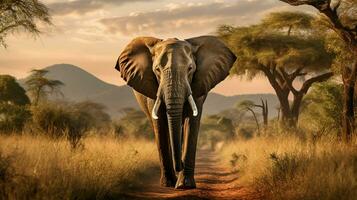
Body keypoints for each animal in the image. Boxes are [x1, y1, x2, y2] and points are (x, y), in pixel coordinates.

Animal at [114, 36, 236, 189]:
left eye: (190, 69)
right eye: (157, 70)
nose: (180, 165)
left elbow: (192, 122)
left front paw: (185, 185)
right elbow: (160, 123)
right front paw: (168, 184)